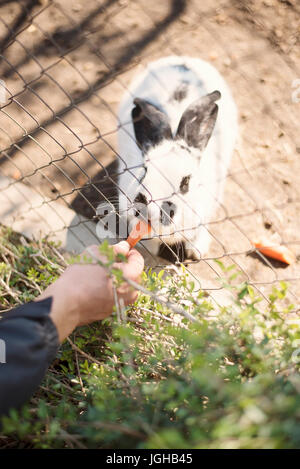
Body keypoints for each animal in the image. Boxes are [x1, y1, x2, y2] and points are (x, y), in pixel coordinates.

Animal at [97, 55, 238, 260]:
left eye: (185, 182)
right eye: (143, 171)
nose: (145, 205)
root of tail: (183, 60)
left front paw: (196, 252)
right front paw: (149, 248)